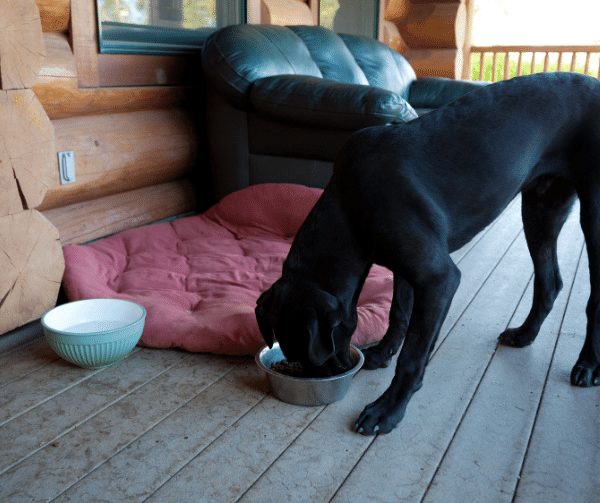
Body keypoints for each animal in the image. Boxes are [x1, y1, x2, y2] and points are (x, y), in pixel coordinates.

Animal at [254, 73, 600, 436]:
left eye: (315, 356)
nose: (335, 372)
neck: (349, 205)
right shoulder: (405, 269)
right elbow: (398, 314)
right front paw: (382, 353)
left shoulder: (438, 279)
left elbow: (414, 353)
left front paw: (389, 409)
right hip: (540, 210)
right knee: (549, 282)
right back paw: (524, 334)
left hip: (593, 214)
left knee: (593, 298)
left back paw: (588, 364)